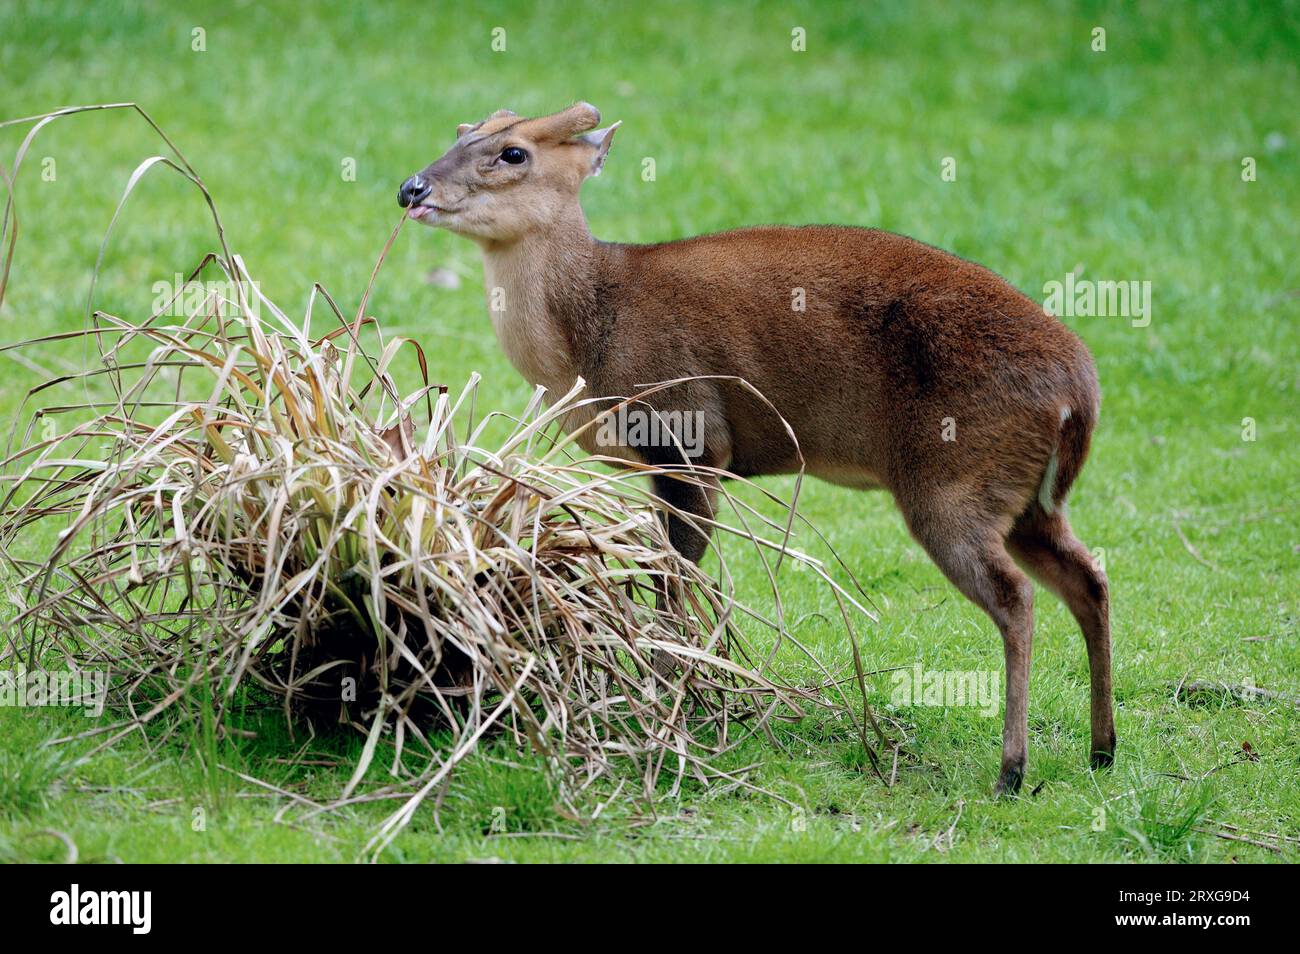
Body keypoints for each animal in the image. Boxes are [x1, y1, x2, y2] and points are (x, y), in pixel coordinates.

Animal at [397, 102, 1118, 800]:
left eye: (513, 152)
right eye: (462, 129)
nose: (412, 188)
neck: (584, 341)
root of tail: (1079, 389)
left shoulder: (690, 436)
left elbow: (673, 580)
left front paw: (670, 705)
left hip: (954, 479)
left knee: (1017, 597)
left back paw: (1012, 771)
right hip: (1025, 496)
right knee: (1088, 578)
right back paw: (1101, 751)